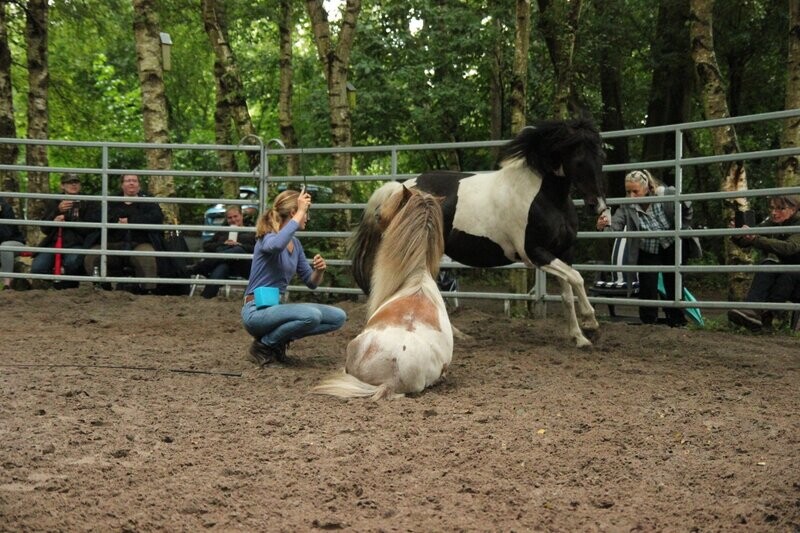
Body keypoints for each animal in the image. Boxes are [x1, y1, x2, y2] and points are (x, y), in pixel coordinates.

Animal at [350, 118, 608, 348]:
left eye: (601, 158)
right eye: (579, 160)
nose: (598, 206)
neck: (543, 197)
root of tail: (400, 188)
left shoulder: (563, 252)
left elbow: (567, 293)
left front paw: (580, 337)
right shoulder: (535, 253)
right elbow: (577, 278)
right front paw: (592, 324)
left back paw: (458, 334)